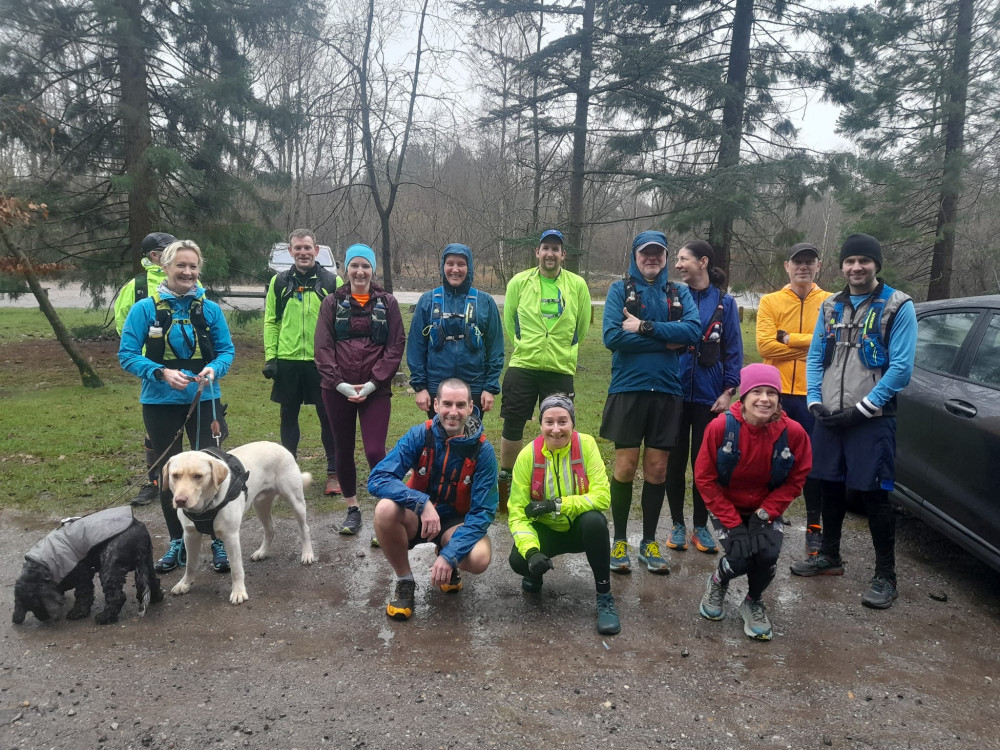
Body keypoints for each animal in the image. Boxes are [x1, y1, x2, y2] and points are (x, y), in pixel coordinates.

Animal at [12, 508, 162, 624]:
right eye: (29, 608)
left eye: (38, 604)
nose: (43, 619)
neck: (41, 565)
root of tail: (138, 532)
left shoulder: (82, 573)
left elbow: (83, 594)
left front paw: (78, 612)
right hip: (147, 561)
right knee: (153, 581)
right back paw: (156, 598)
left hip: (109, 564)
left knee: (117, 596)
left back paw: (104, 617)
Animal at [162, 440, 314, 604]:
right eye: (175, 476)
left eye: (198, 476)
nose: (180, 500)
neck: (205, 508)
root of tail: (277, 444)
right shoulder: (190, 536)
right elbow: (190, 564)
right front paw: (184, 584)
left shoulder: (231, 536)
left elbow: (236, 569)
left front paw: (238, 592)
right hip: (260, 504)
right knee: (270, 530)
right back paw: (262, 552)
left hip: (295, 501)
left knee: (304, 528)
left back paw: (307, 554)